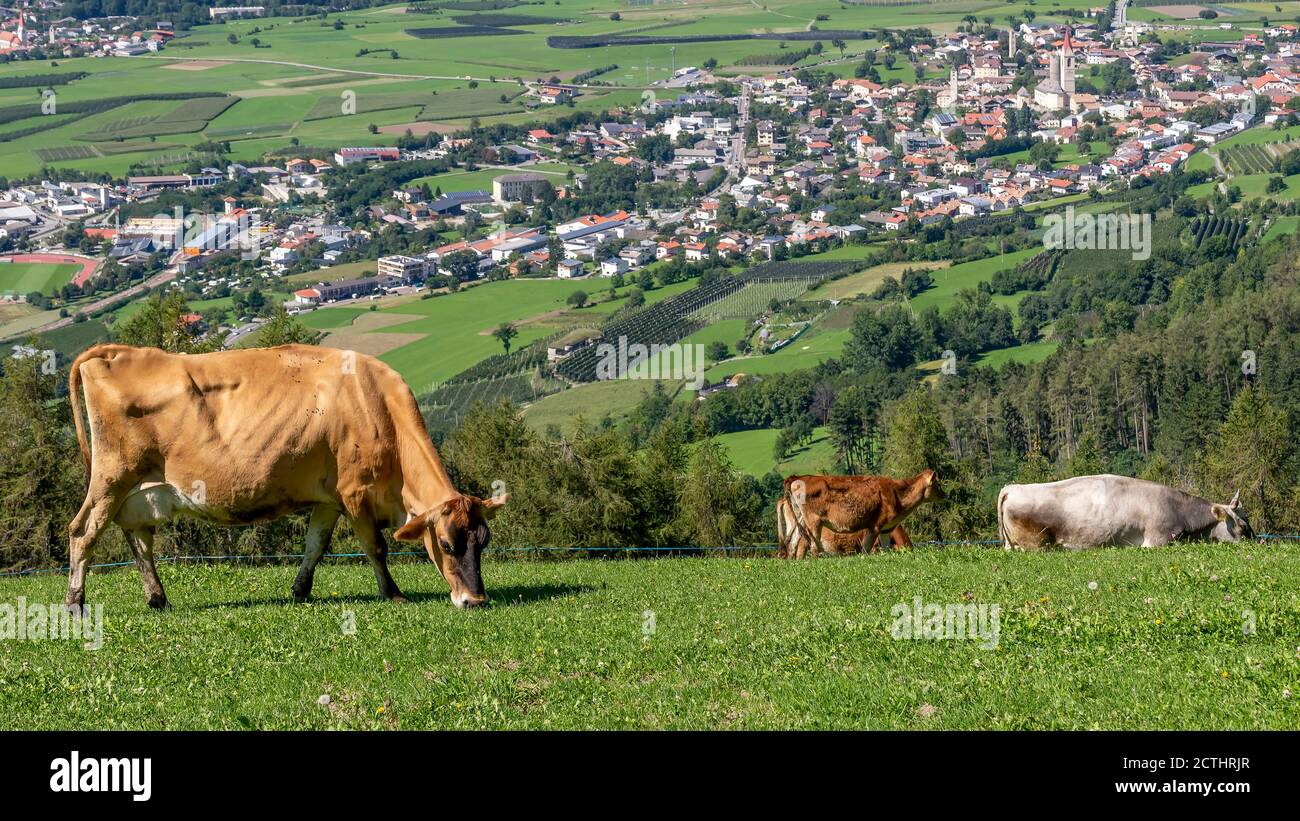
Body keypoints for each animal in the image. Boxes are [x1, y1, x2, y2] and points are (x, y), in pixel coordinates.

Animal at [66, 343, 507, 610]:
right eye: (446, 545)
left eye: (483, 542)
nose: (475, 600)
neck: (377, 406)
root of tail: (119, 352)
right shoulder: (354, 494)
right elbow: (376, 548)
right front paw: (393, 593)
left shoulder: (329, 500)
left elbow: (315, 546)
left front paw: (300, 590)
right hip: (111, 477)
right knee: (82, 532)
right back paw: (75, 602)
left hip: (140, 491)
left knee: (138, 539)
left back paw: (159, 599)